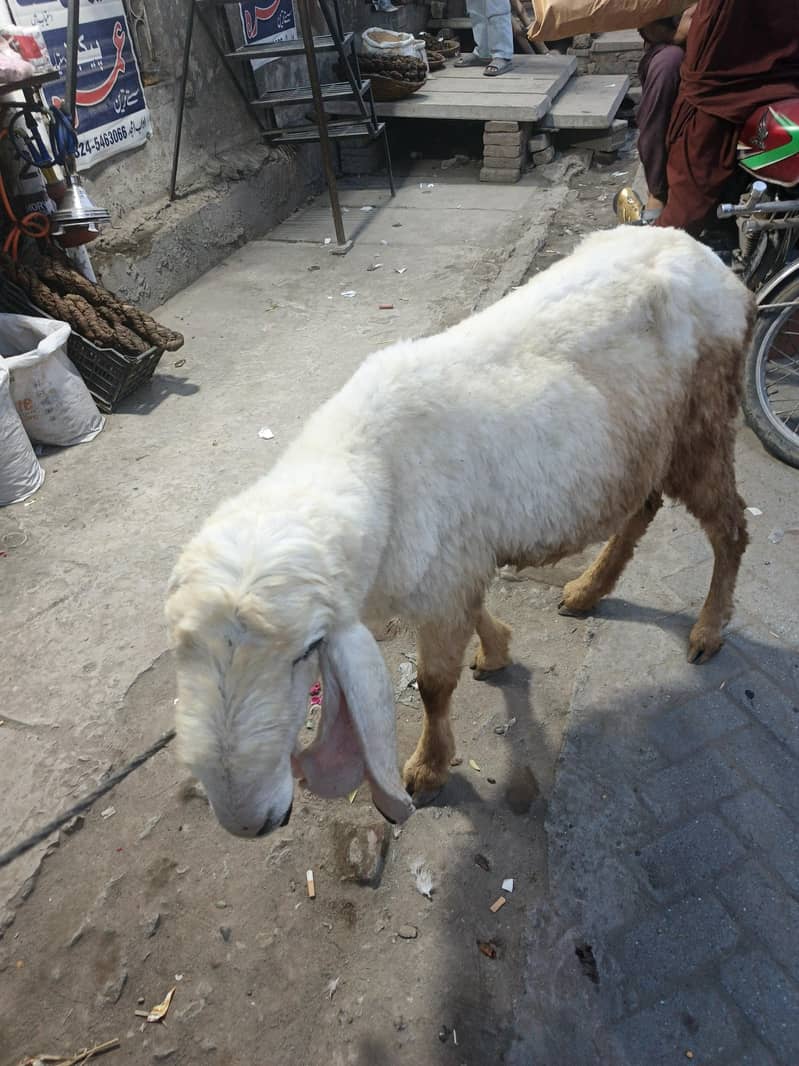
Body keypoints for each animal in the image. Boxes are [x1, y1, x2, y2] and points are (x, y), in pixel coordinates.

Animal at [166, 225, 754, 838]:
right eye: (181, 651)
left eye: (308, 649)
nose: (248, 822)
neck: (371, 461)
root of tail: (708, 256)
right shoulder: (455, 566)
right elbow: (473, 619)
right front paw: (496, 650)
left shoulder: (446, 575)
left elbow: (432, 684)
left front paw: (428, 767)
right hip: (645, 443)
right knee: (645, 504)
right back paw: (589, 589)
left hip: (704, 422)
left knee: (731, 527)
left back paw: (708, 628)